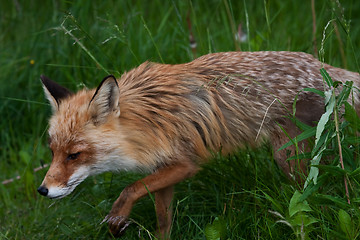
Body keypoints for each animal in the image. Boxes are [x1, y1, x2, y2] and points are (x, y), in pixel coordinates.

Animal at [37, 52, 360, 238]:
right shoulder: (163, 168)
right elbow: (163, 221)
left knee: (310, 199)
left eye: (74, 155)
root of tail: (326, 68)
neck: (146, 121)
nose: (42, 190)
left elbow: (129, 188)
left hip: (288, 159)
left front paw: (117, 218)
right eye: (53, 152)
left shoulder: (186, 164)